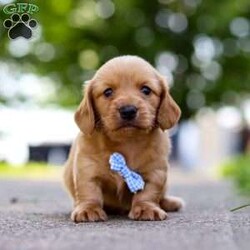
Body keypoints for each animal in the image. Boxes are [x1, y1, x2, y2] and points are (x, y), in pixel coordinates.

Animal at [63, 55, 184, 222]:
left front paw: (146, 208)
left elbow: (149, 193)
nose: (128, 110)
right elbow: (89, 190)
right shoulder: (86, 168)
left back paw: (170, 202)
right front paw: (88, 209)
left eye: (146, 90)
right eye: (108, 92)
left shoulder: (155, 172)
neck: (127, 141)